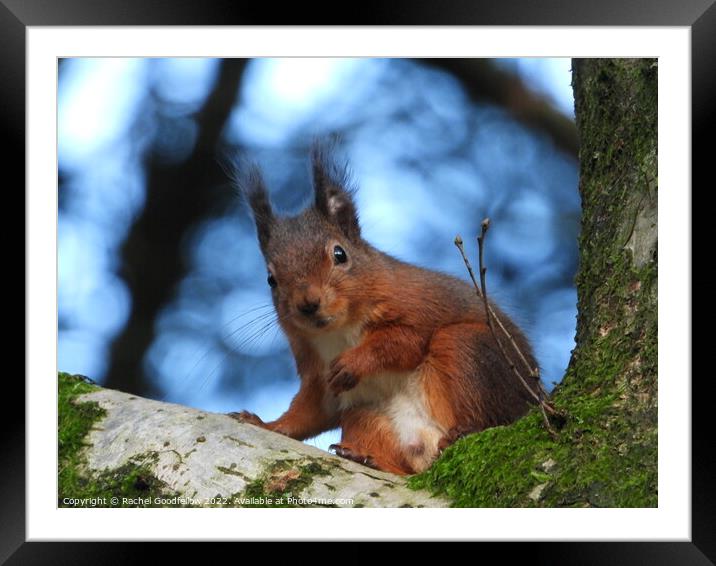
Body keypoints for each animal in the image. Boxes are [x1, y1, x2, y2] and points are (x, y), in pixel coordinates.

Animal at [229, 144, 536, 478]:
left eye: (340, 254)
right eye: (271, 279)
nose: (308, 303)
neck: (339, 331)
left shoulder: (415, 306)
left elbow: (404, 342)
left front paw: (353, 363)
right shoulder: (316, 372)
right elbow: (309, 411)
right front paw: (266, 424)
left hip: (471, 351)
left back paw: (462, 431)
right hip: (364, 415)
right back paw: (366, 458)